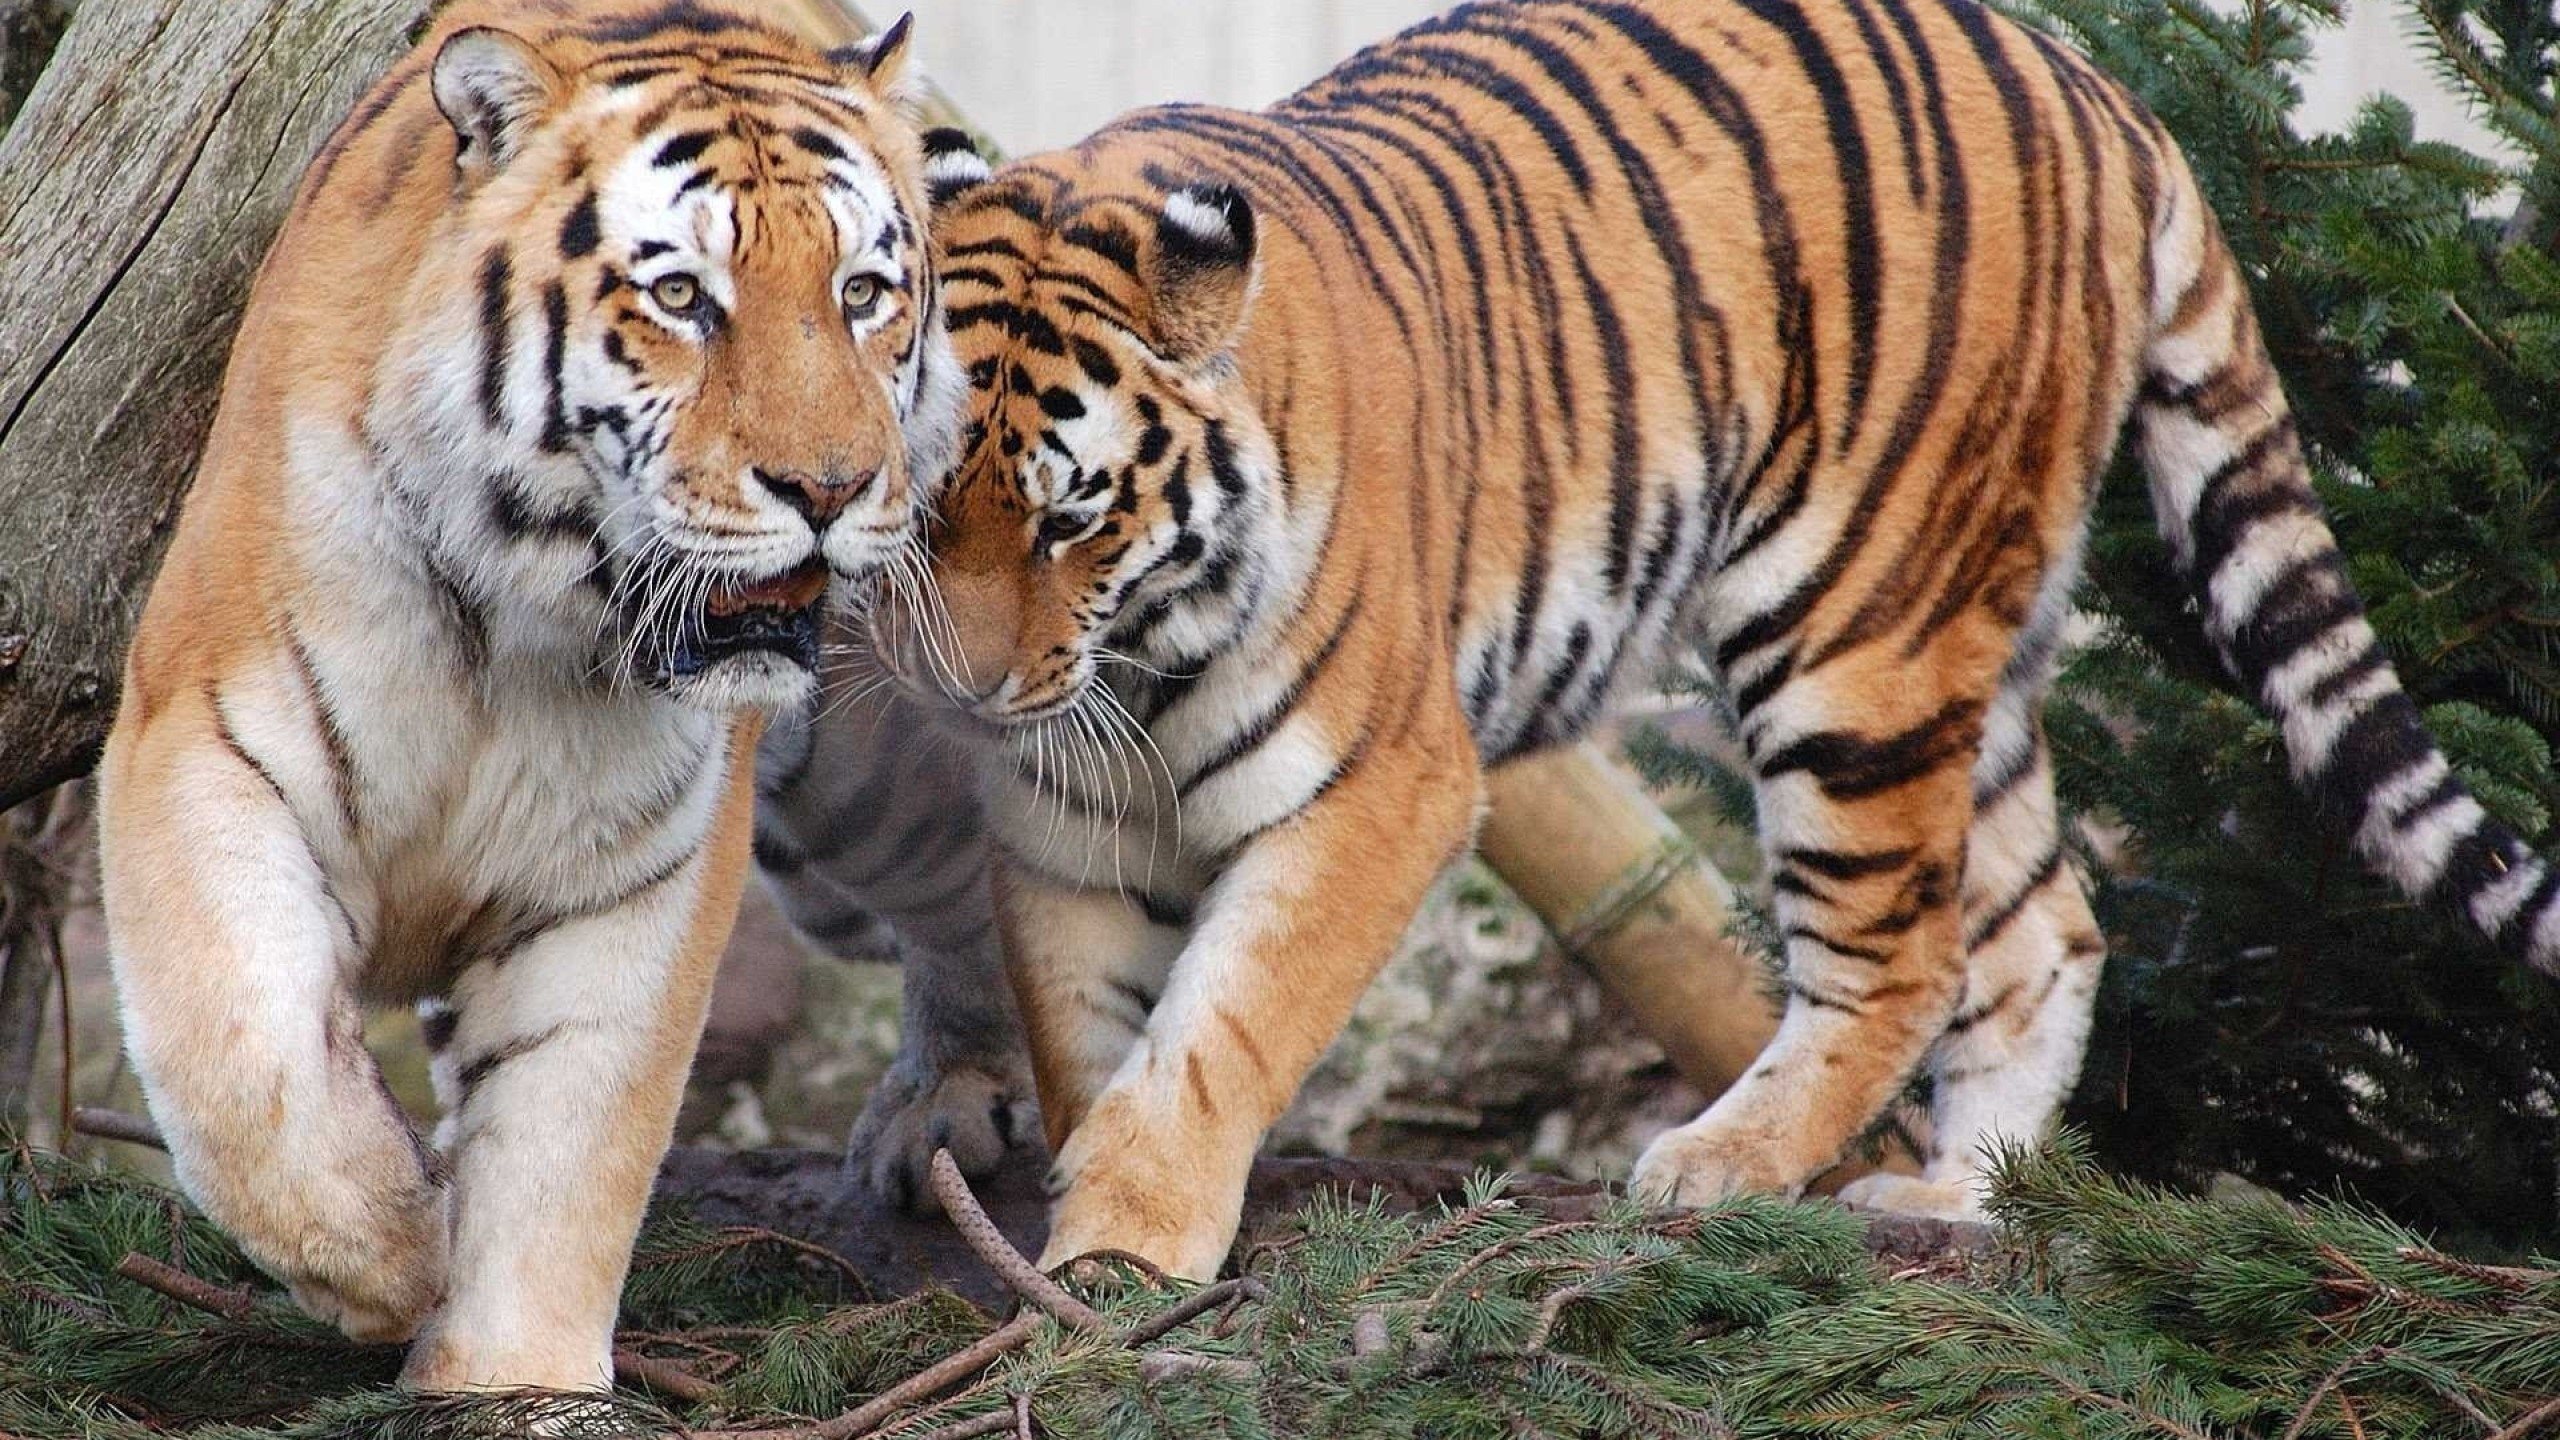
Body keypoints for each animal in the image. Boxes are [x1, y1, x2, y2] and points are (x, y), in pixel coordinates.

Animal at [95, 0, 967, 1391]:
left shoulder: (638, 871)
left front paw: (512, 1379)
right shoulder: (202, 738)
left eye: (862, 295)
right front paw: (390, 1251)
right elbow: (244, 1053)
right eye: (682, 297)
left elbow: (572, 1140)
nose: (829, 488)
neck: (527, 619)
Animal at [874, 0, 2560, 1280]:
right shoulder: (1064, 818)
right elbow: (1087, 1027)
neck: (1137, 654)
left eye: (1071, 518)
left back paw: (1719, 1166)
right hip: (1975, 643)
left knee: (1904, 955)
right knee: (2046, 925)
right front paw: (1075, 1215)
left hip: (1854, 633)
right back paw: (1963, 1201)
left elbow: (1219, 1029)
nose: (960, 693)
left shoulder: (1379, 786)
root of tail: (2091, 85)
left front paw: (1128, 1242)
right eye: (921, 502)